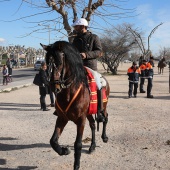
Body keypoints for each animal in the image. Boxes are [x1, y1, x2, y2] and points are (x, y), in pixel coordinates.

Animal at [41, 40, 110, 169]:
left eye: (59, 62)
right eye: (47, 63)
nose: (53, 87)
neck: (69, 91)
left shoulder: (81, 120)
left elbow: (78, 144)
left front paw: (76, 165)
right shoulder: (62, 118)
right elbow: (53, 141)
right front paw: (64, 151)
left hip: (103, 107)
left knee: (105, 118)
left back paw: (104, 137)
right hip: (88, 113)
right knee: (93, 125)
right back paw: (92, 146)